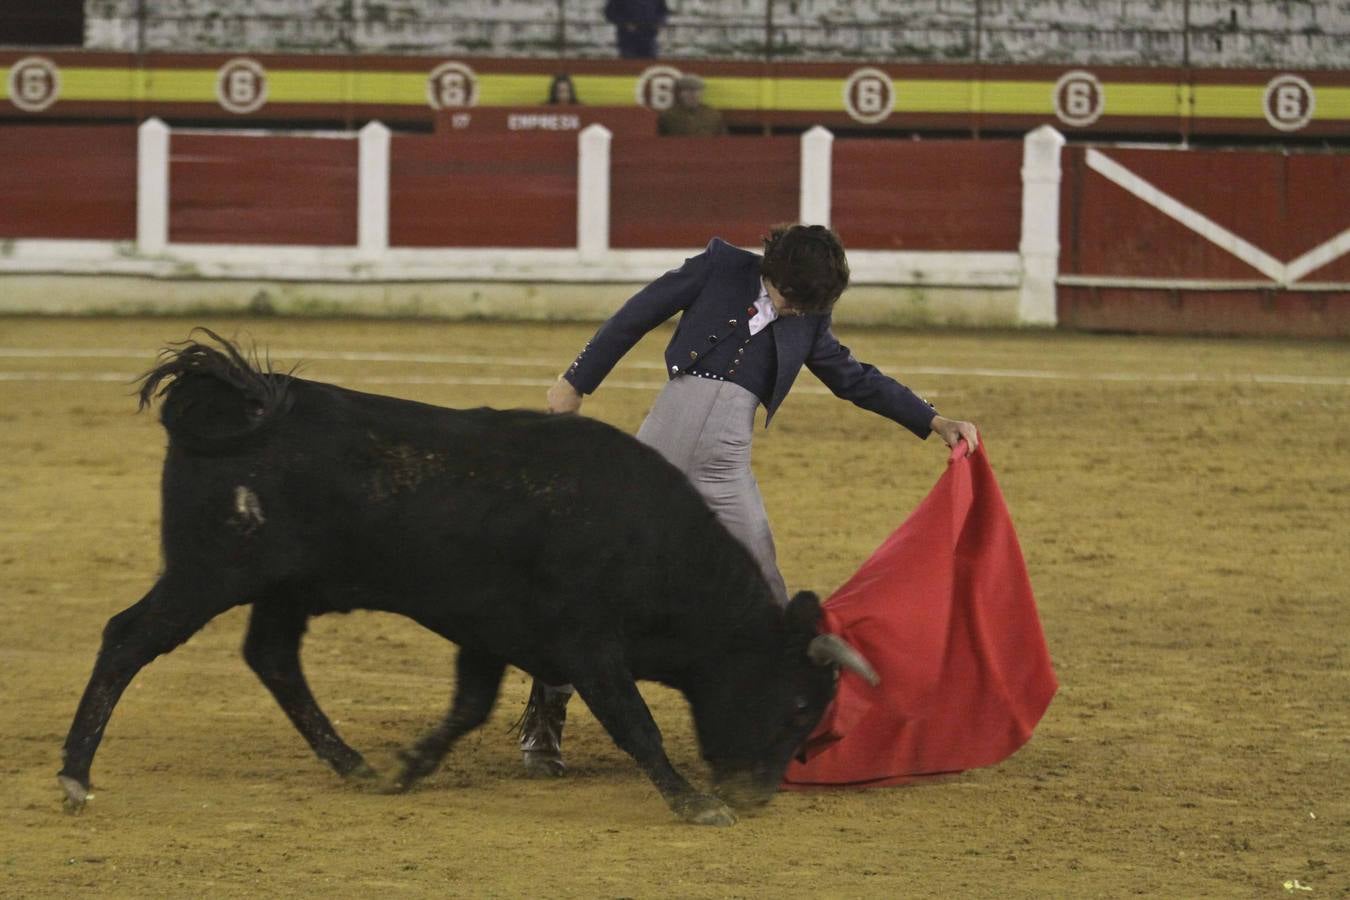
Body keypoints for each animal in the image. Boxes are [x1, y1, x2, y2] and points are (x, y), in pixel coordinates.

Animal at [58, 334, 874, 825]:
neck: (649, 542)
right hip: (208, 572)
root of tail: (241, 395)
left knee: (272, 659)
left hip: (286, 588)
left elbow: (470, 707)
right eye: (800, 705)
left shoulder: (492, 634)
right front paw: (694, 803)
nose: (758, 795)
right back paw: (74, 778)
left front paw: (408, 766)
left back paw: (355, 766)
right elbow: (635, 721)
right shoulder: (587, 645)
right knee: (127, 639)